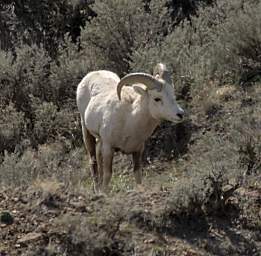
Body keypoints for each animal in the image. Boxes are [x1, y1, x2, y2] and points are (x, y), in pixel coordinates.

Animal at [76, 64, 184, 192]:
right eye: (157, 98)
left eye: (173, 94)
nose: (180, 114)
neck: (129, 120)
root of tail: (93, 73)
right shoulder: (108, 148)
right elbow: (108, 175)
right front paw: (103, 193)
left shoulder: (138, 150)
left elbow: (137, 174)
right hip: (86, 130)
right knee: (93, 161)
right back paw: (97, 189)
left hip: (99, 140)